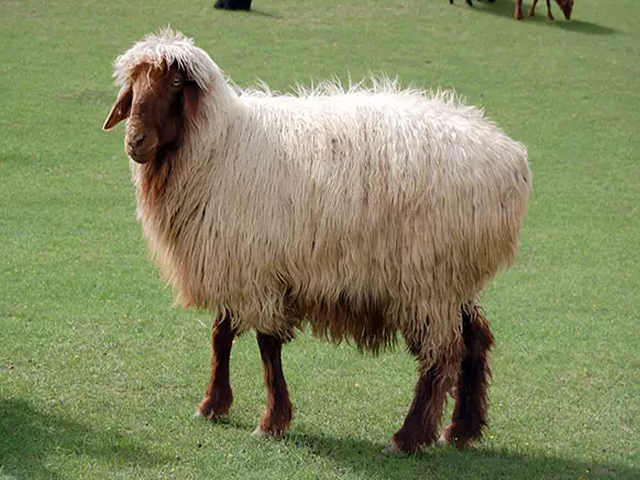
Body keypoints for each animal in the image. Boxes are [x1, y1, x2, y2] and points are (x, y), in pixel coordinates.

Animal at [103, 28, 531, 453]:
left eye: (176, 82)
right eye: (134, 84)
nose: (135, 142)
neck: (217, 147)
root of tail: (511, 159)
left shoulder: (259, 267)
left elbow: (266, 344)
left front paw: (272, 420)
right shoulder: (235, 260)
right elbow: (221, 335)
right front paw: (213, 404)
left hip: (427, 277)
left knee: (441, 355)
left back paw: (408, 436)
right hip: (455, 276)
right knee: (476, 338)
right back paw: (462, 428)